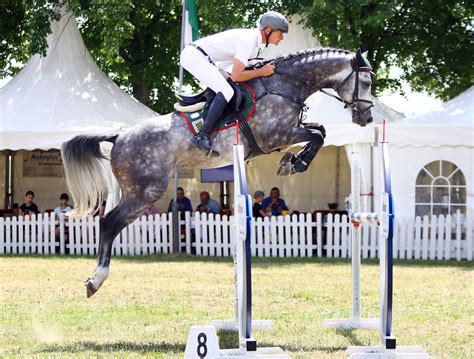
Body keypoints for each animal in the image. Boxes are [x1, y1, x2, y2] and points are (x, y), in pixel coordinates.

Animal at [62, 47, 374, 298]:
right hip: (145, 192)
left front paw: (290, 162)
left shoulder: (286, 133)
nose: (367, 118)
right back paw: (95, 280)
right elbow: (318, 135)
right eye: (367, 82)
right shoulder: (275, 135)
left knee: (109, 223)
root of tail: (119, 137)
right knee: (109, 223)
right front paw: (294, 163)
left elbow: (320, 130)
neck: (284, 85)